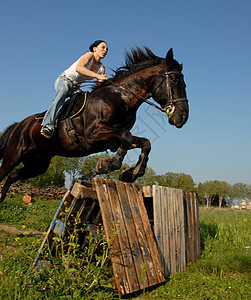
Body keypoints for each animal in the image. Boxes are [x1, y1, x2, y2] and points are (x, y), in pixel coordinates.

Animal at [0, 46, 188, 202]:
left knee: (14, 174)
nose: (182, 117)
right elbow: (126, 138)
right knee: (5, 171)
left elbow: (143, 142)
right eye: (175, 79)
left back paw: (2, 198)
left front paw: (131, 173)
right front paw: (107, 165)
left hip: (38, 163)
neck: (120, 97)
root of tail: (19, 125)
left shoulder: (113, 138)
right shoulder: (92, 135)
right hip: (14, 155)